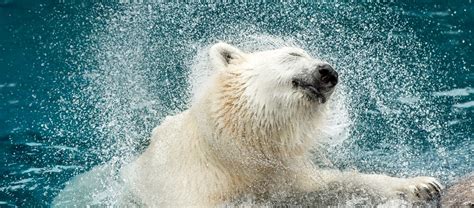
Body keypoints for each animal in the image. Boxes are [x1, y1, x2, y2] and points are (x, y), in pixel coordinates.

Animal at [119, 42, 444, 206]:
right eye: (294, 53)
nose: (329, 72)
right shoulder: (190, 185)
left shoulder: (283, 178)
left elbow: (338, 183)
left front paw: (423, 185)